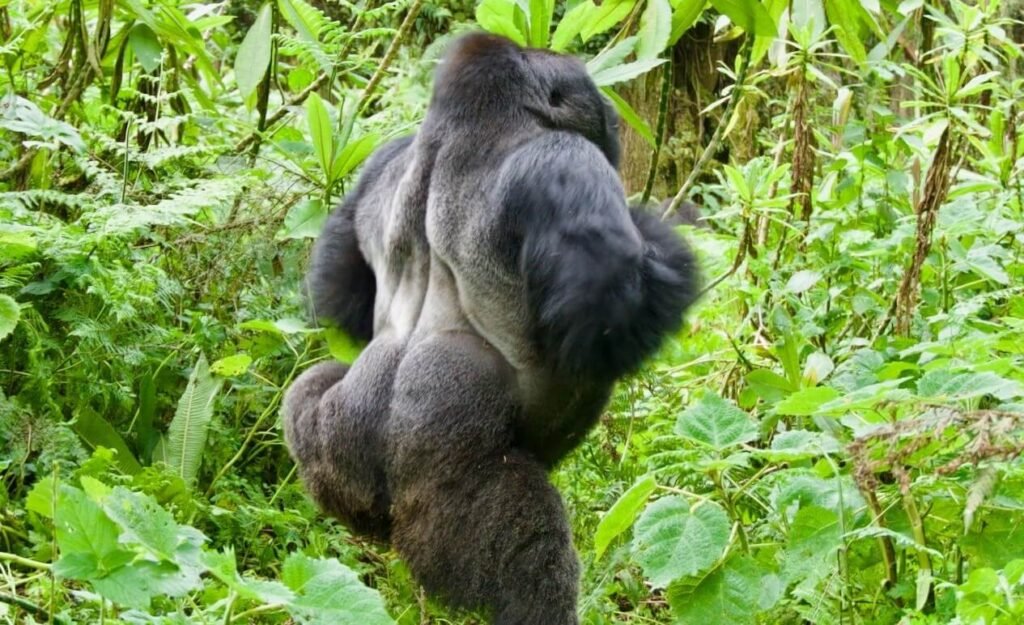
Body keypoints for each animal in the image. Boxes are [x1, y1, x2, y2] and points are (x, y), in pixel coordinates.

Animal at [283, 33, 700, 624]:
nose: (612, 119)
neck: (472, 122)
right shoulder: (562, 159)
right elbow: (610, 313)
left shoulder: (383, 157)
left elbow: (338, 292)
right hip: (445, 487)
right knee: (526, 545)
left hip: (334, 452)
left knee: (310, 388)